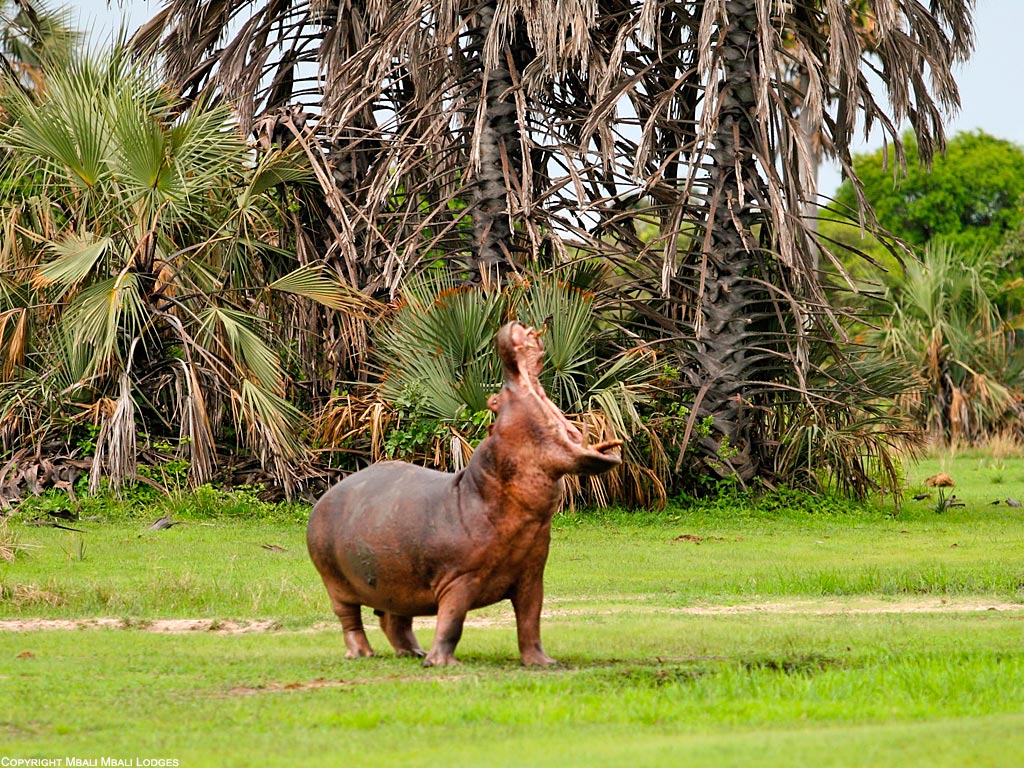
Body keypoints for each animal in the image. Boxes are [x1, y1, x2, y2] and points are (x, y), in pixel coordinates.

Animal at [307, 319, 618, 667]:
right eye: (494, 401)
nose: (513, 326)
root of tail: (325, 496)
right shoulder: (459, 580)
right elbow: (452, 621)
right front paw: (443, 663)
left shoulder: (531, 578)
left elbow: (530, 621)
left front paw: (542, 663)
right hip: (336, 583)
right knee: (350, 620)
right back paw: (363, 653)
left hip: (394, 579)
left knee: (393, 618)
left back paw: (414, 652)